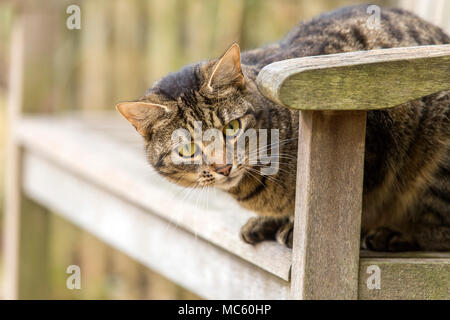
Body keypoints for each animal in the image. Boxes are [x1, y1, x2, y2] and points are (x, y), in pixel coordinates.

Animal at [117, 3, 450, 251]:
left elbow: (357, 205)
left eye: (231, 127)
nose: (223, 166)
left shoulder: (374, 148)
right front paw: (270, 222)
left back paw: (395, 234)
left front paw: (292, 225)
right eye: (187, 149)